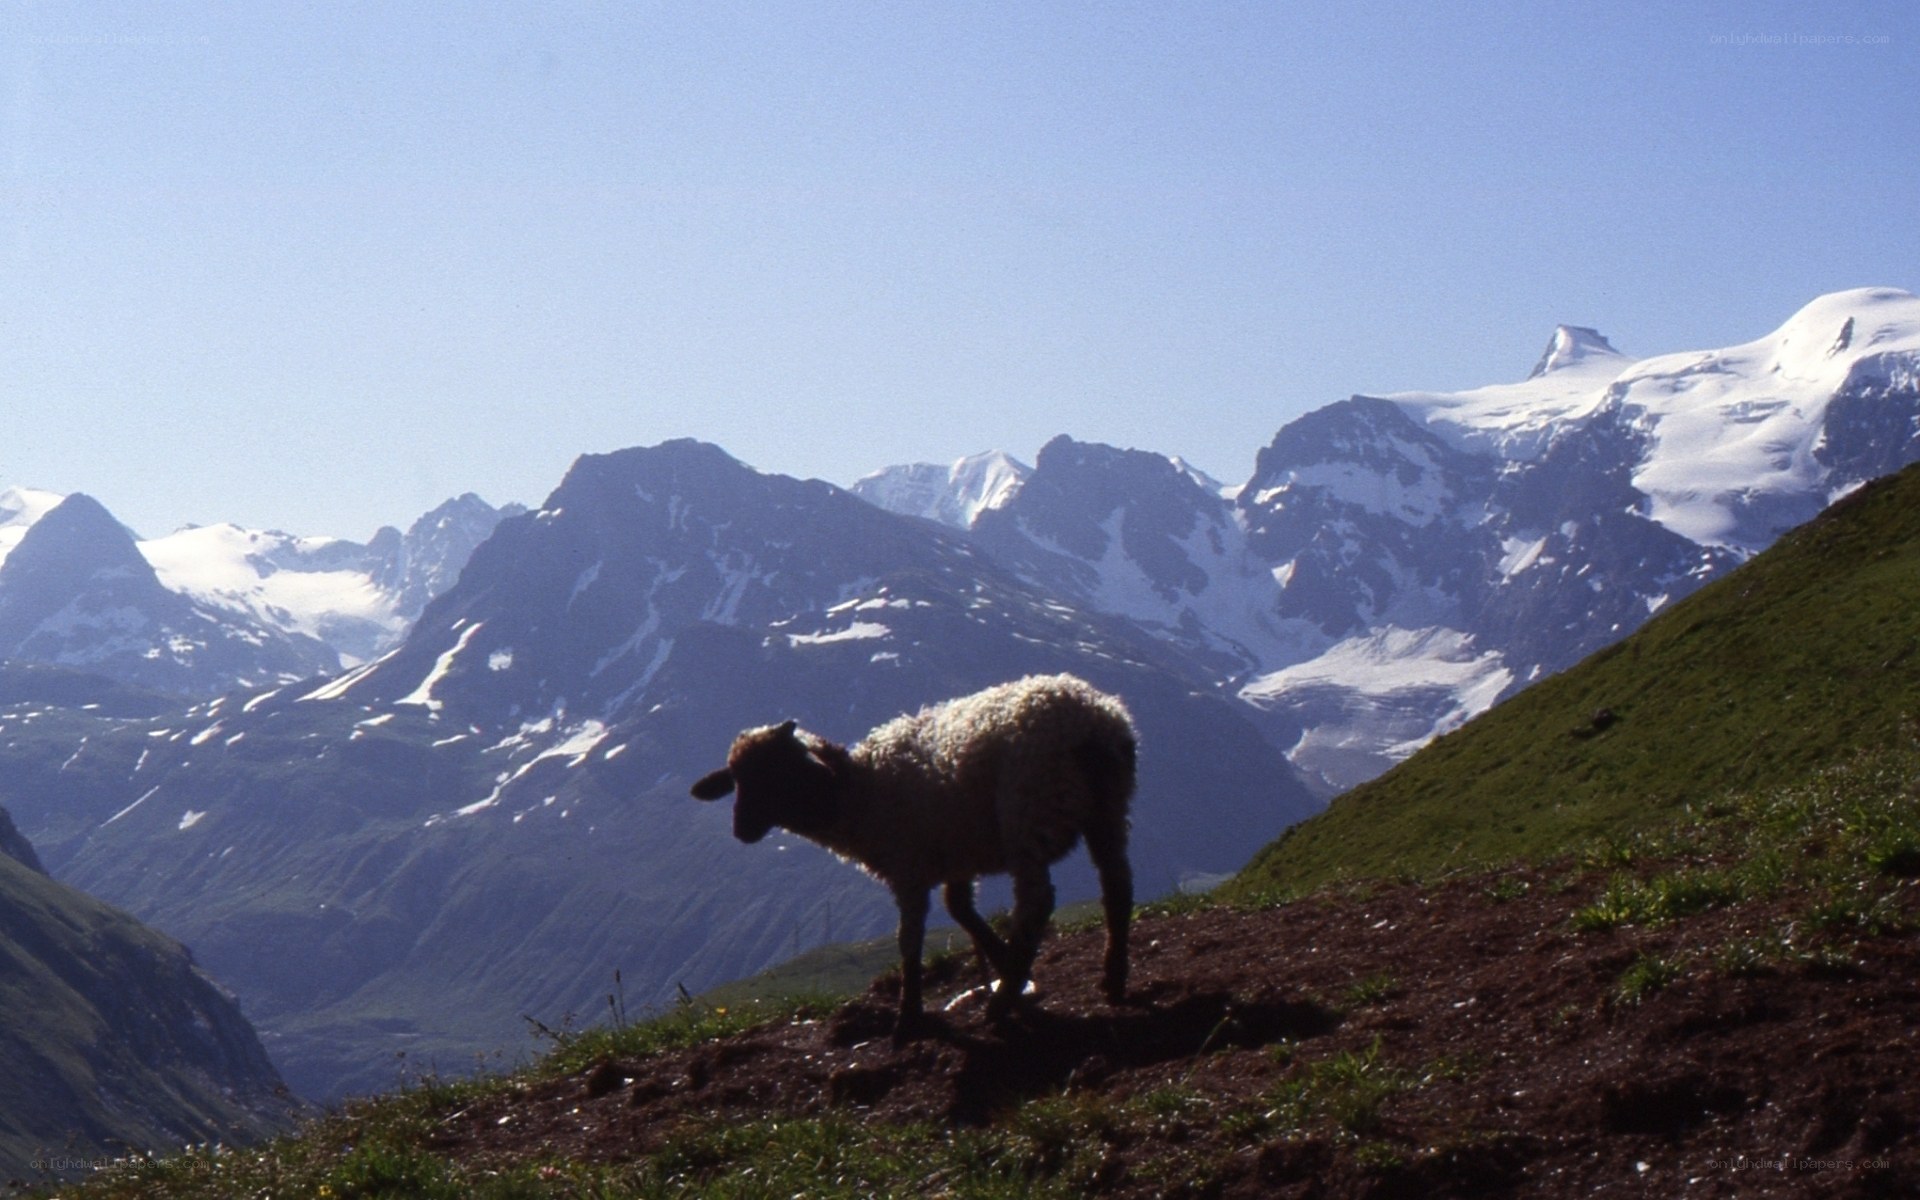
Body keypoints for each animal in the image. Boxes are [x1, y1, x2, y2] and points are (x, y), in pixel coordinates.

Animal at [690, 673, 1137, 1033]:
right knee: (1116, 885)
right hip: (1107, 809)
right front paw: (1004, 962)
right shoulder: (954, 853)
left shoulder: (908, 869)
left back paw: (1001, 1002)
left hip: (1028, 812)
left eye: (773, 772)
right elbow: (960, 909)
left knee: (1036, 904)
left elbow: (910, 940)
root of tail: (1091, 718)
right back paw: (1112, 979)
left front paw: (909, 1016)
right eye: (735, 780)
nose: (741, 831)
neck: (857, 792)